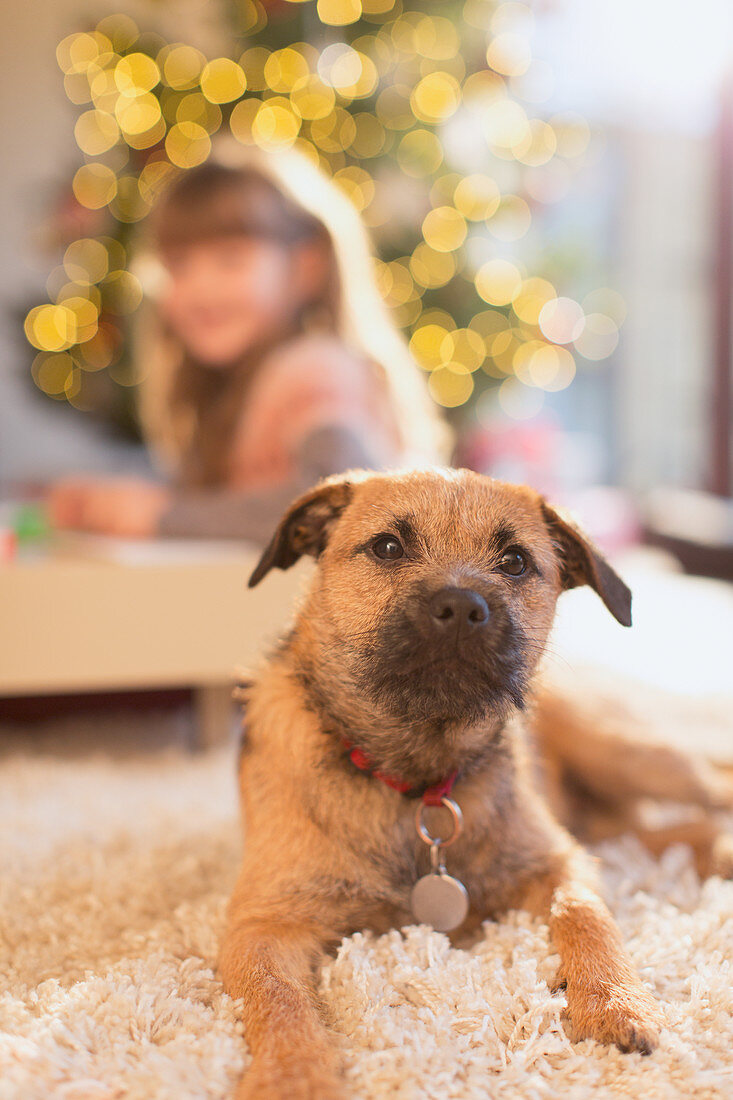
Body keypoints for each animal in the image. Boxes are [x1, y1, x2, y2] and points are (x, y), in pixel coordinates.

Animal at [216, 468, 660, 1095]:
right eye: (387, 547)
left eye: (516, 561)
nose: (460, 605)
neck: (417, 780)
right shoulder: (262, 924)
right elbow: (278, 998)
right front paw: (292, 1074)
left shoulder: (560, 860)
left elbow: (585, 915)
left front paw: (617, 1001)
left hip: (628, 751)